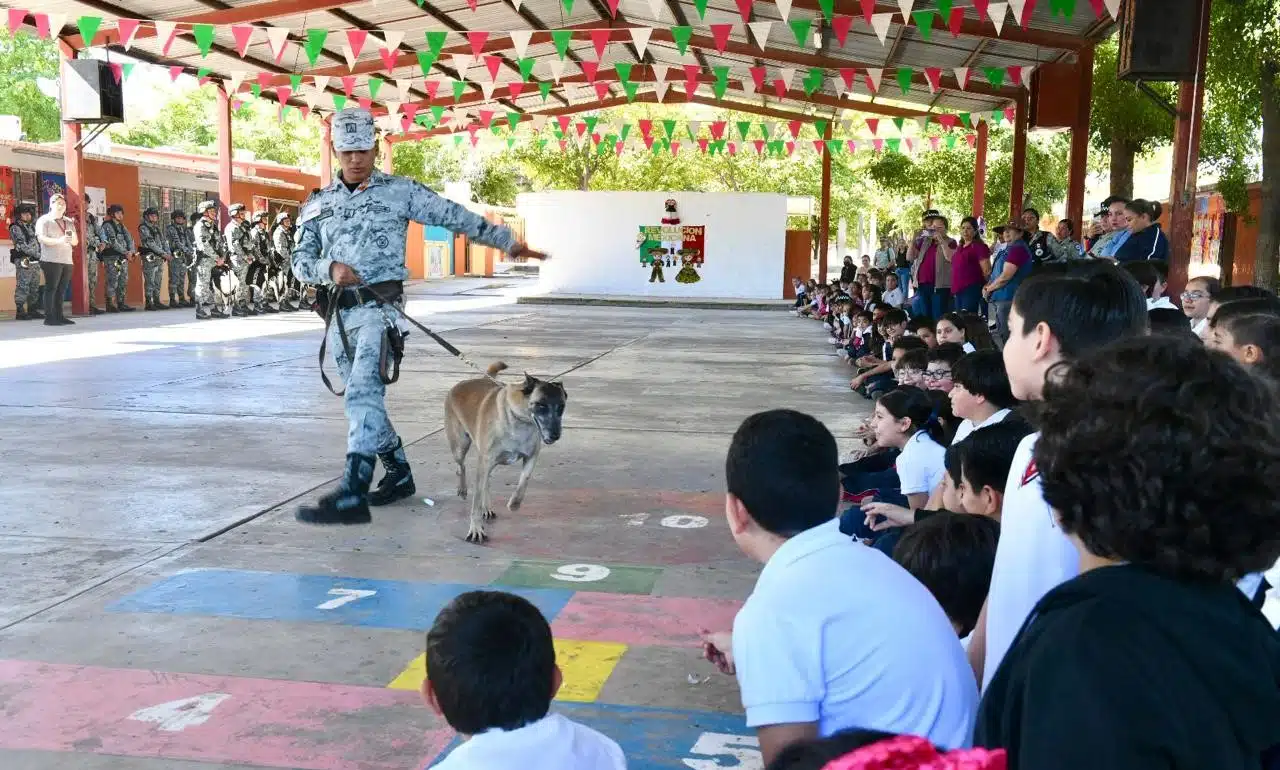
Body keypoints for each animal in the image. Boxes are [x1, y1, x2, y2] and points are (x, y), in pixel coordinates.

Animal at [450, 360, 570, 539]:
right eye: (541, 405)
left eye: (561, 407)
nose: (555, 435)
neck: (519, 419)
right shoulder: (484, 462)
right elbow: (476, 500)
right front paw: (476, 528)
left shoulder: (531, 456)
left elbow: (524, 479)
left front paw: (515, 503)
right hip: (460, 446)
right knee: (461, 466)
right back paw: (463, 489)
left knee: (485, 482)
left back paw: (487, 507)